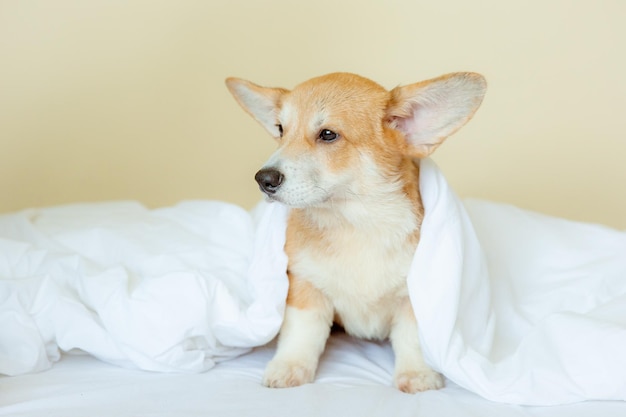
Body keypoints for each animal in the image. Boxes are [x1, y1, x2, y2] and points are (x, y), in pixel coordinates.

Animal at [227, 70, 486, 392]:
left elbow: (411, 338)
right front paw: (290, 366)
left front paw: (417, 374)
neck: (355, 223)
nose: (263, 179)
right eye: (280, 130)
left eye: (328, 134)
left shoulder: (412, 296)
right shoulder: (304, 286)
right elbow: (302, 332)